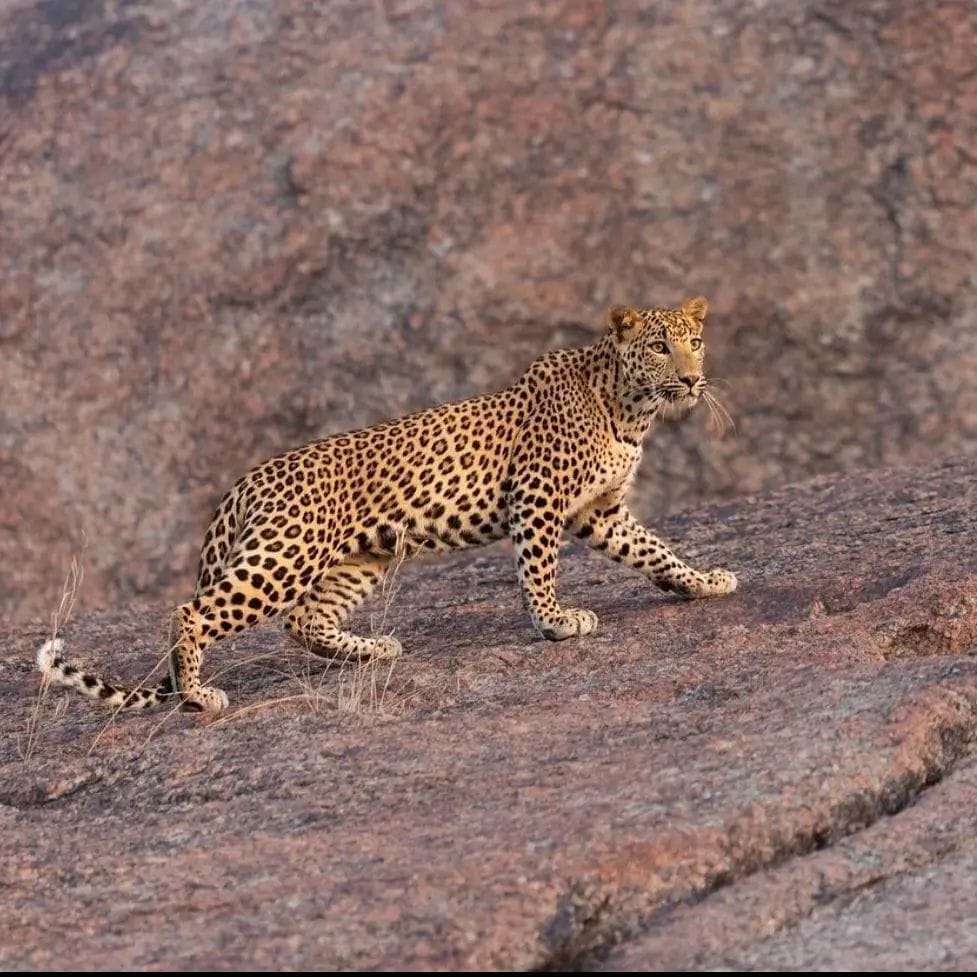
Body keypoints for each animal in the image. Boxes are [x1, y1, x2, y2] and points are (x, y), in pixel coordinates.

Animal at [37, 296, 737, 714]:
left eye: (695, 341)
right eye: (659, 346)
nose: (693, 379)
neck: (630, 409)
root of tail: (245, 482)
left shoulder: (600, 511)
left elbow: (655, 550)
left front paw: (703, 582)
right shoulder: (538, 499)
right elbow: (540, 569)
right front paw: (556, 622)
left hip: (357, 560)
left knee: (303, 621)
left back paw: (372, 651)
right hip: (285, 555)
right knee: (194, 610)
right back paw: (199, 694)